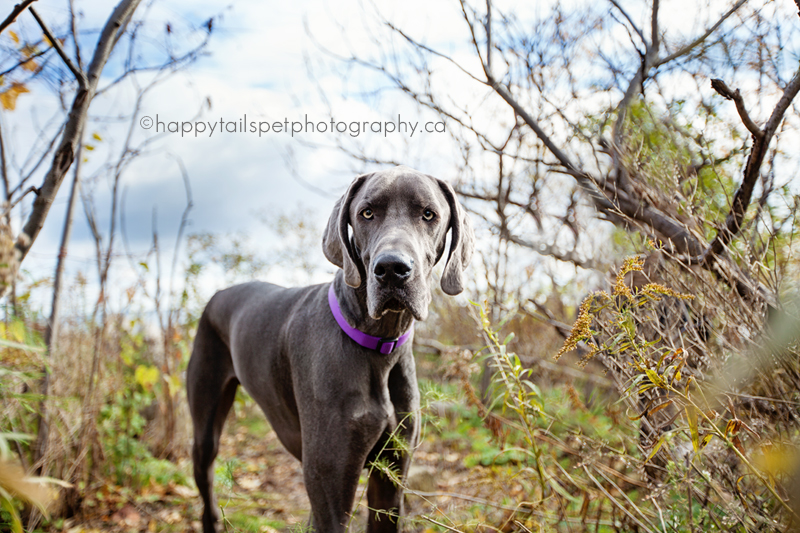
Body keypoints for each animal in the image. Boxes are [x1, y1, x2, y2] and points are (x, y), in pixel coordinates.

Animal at [186, 164, 476, 528]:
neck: (378, 344)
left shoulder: (390, 482)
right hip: (205, 424)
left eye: (428, 214)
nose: (392, 268)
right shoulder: (332, 487)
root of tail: (218, 294)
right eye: (366, 213)